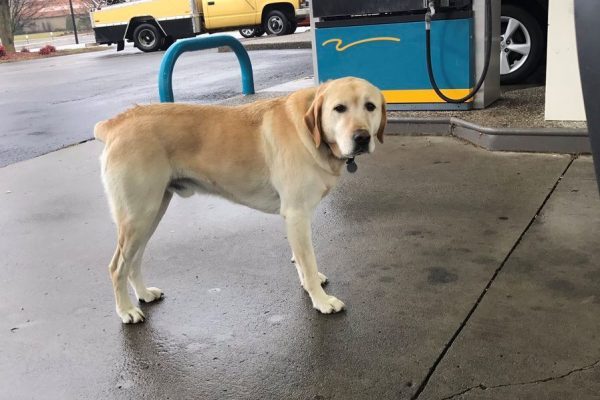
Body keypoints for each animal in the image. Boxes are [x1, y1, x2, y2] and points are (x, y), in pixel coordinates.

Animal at [94, 76, 384, 324]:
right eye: (339, 108)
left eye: (370, 106)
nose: (362, 138)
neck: (311, 132)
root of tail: (116, 123)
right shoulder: (297, 214)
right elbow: (308, 262)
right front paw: (321, 301)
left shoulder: (295, 217)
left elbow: (302, 261)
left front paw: (307, 285)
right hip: (139, 216)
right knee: (117, 266)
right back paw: (126, 310)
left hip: (151, 213)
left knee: (134, 261)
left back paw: (143, 294)